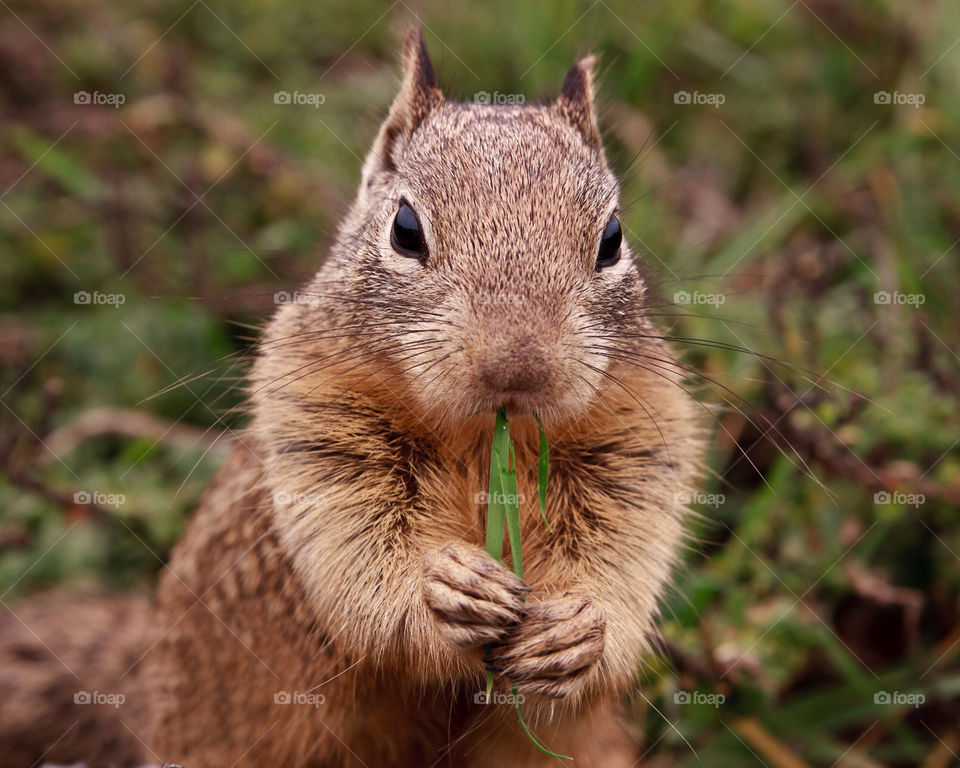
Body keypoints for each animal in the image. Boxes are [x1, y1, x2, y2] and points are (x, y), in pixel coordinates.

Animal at [0, 25, 700, 768]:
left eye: (612, 239)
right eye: (405, 230)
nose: (517, 366)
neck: (482, 438)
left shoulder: (640, 444)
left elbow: (621, 559)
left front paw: (578, 629)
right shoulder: (315, 421)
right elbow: (358, 552)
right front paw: (444, 589)